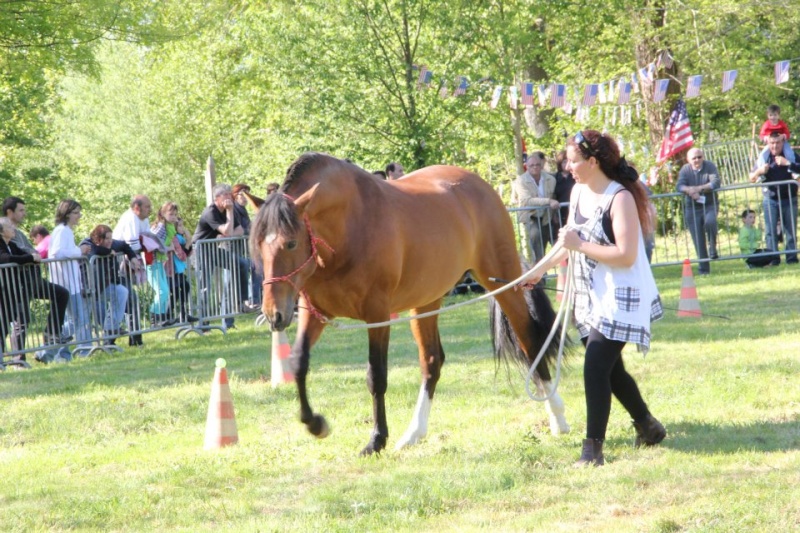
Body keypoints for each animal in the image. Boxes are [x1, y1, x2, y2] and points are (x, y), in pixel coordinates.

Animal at [250, 152, 568, 456]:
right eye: (259, 245)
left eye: (291, 243)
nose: (273, 314)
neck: (348, 227)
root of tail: (481, 186)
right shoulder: (315, 313)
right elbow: (298, 362)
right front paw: (315, 423)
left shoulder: (377, 314)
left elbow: (376, 376)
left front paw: (376, 440)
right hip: (426, 301)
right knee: (432, 362)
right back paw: (413, 434)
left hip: (504, 283)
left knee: (530, 341)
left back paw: (558, 418)